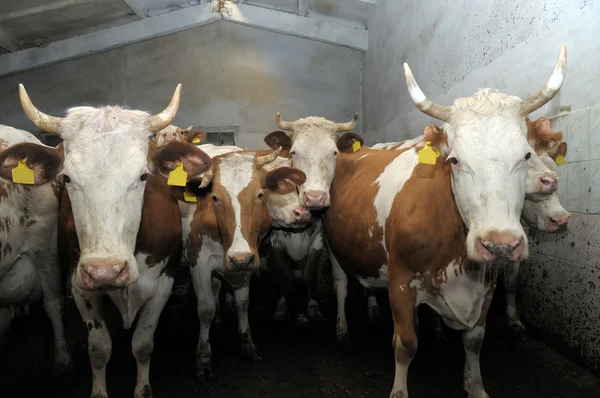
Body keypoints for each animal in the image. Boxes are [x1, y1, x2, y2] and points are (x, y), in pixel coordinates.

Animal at [8, 82, 213, 396]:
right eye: (67, 178)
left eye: (143, 176)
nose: (105, 270)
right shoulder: (80, 283)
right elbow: (100, 348)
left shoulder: (163, 280)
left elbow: (142, 344)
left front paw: (142, 389)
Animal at [177, 145, 310, 380]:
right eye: (215, 197)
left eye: (259, 194)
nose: (301, 213)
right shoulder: (199, 263)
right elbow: (205, 309)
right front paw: (204, 358)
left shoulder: (247, 260)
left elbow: (243, 303)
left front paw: (248, 346)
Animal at [324, 44, 568, 398]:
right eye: (454, 159)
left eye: (525, 155)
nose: (499, 243)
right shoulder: (400, 279)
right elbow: (405, 344)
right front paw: (399, 390)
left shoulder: (487, 283)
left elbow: (475, 340)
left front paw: (475, 385)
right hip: (333, 248)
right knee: (341, 287)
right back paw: (342, 330)